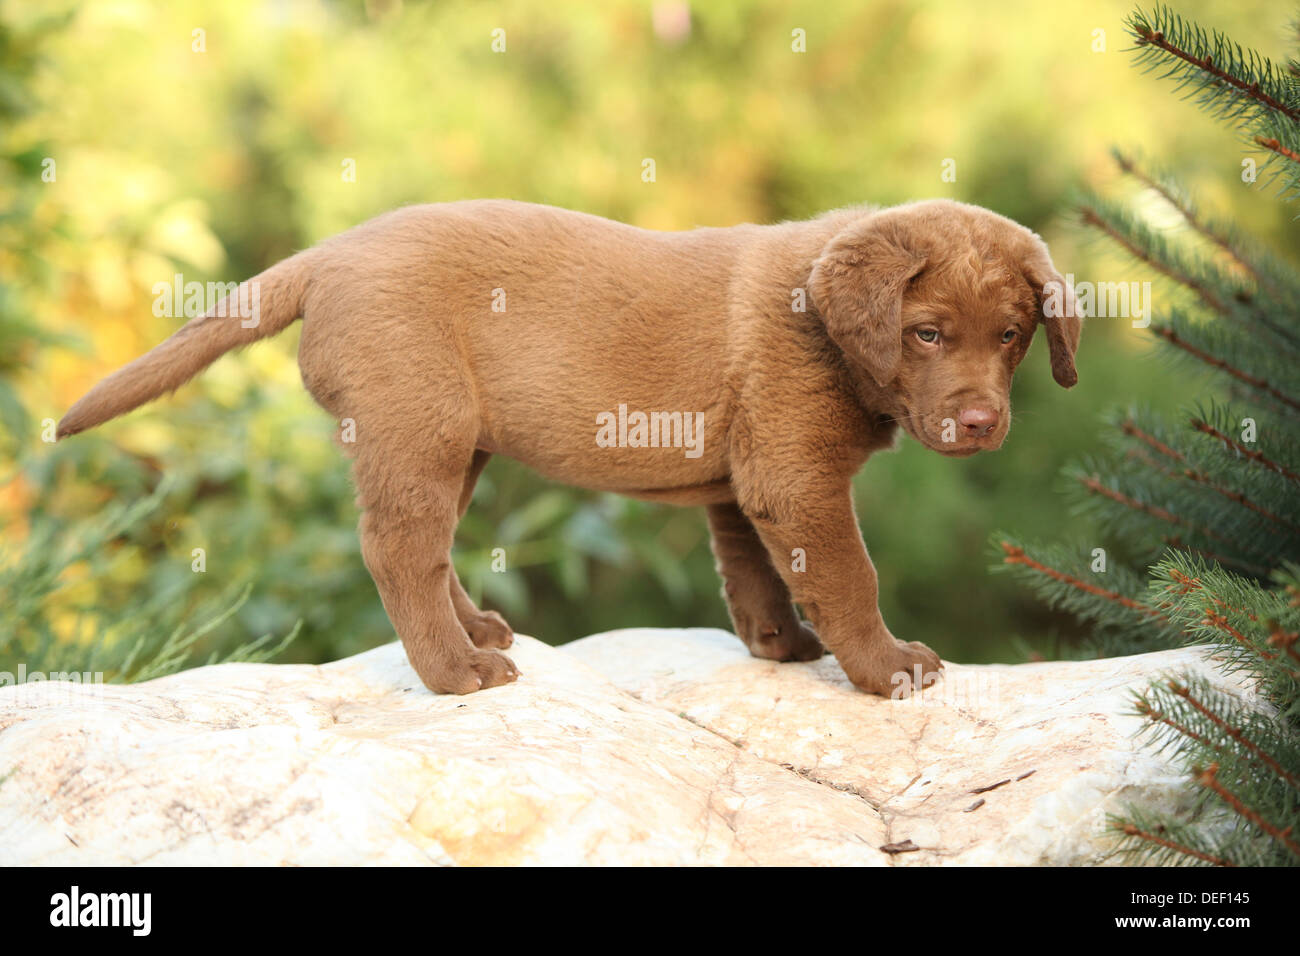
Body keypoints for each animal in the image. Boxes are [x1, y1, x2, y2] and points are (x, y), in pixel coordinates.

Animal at [58, 197, 1076, 697]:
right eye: (928, 334)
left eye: (1014, 335)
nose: (982, 423)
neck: (822, 323)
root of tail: (327, 253)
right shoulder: (797, 476)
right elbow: (849, 578)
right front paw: (887, 666)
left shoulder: (742, 479)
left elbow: (754, 573)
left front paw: (780, 648)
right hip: (416, 421)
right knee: (397, 548)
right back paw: (455, 673)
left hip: (455, 439)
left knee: (429, 550)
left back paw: (475, 633)